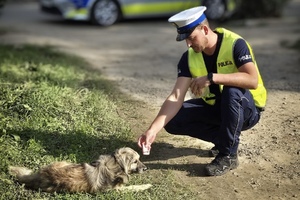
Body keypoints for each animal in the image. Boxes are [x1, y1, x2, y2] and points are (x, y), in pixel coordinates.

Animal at [8, 148, 152, 193]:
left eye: (139, 159)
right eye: (135, 161)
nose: (146, 168)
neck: (116, 164)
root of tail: (39, 176)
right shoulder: (115, 190)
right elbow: (134, 187)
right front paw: (147, 185)